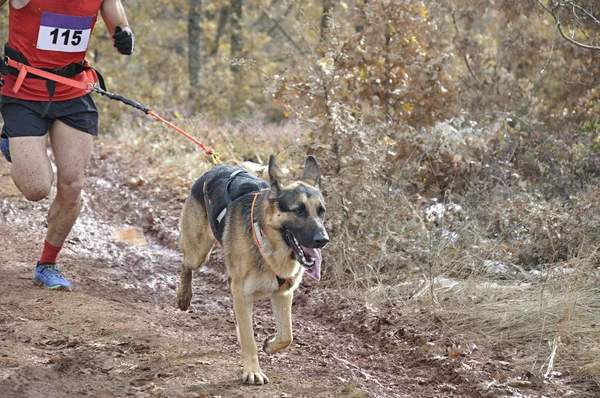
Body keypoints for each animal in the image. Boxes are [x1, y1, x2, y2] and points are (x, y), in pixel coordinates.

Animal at [176, 154, 330, 384]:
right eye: (298, 210)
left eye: (321, 212)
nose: (323, 240)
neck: (268, 240)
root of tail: (216, 167)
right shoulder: (242, 294)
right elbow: (250, 339)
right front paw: (252, 371)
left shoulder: (283, 294)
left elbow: (287, 336)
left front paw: (269, 345)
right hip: (198, 252)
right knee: (186, 263)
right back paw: (184, 296)